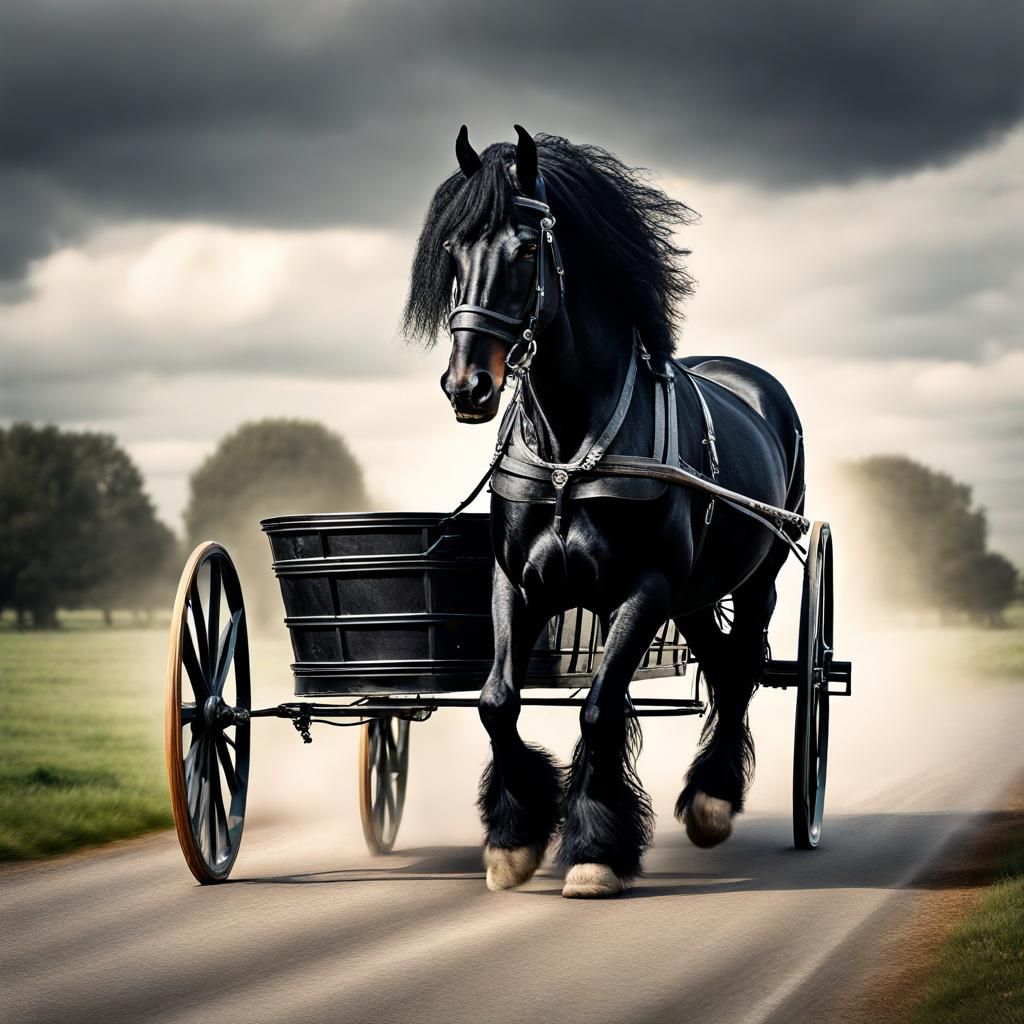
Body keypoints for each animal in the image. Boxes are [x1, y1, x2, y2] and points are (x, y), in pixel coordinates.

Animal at [403, 126, 805, 898]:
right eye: (452, 251)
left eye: (526, 249)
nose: (467, 387)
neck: (571, 449)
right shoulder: (517, 583)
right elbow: (498, 702)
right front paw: (515, 837)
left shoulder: (644, 588)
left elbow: (597, 708)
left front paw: (594, 850)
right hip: (693, 596)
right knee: (720, 663)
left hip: (755, 577)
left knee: (740, 670)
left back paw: (714, 798)